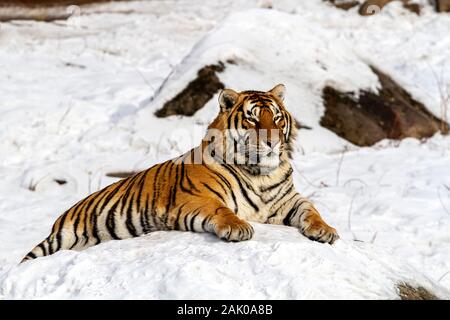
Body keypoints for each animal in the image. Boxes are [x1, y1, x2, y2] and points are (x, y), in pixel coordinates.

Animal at [21, 84, 338, 262]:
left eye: (277, 118)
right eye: (252, 119)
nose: (272, 142)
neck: (261, 173)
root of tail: (59, 219)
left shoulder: (287, 201)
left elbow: (311, 209)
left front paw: (326, 230)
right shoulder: (196, 198)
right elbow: (222, 210)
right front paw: (238, 228)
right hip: (59, 240)